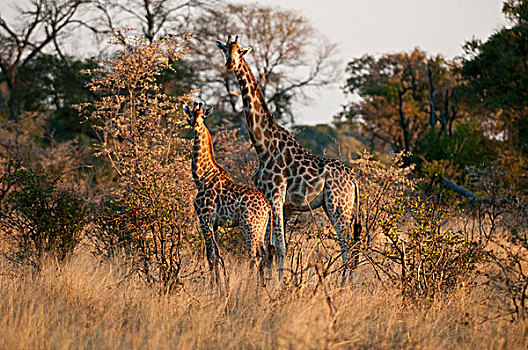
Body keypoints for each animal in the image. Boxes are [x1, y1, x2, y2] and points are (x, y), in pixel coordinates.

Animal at [184, 102, 272, 282]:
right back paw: (261, 285)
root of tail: (268, 206)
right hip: (261, 229)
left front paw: (213, 286)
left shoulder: (205, 219)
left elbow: (210, 255)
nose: (194, 124)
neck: (201, 177)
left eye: (202, 116)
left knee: (254, 256)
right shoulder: (215, 224)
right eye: (190, 115)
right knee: (263, 255)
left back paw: (249, 285)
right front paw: (220, 283)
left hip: (249, 227)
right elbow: (217, 254)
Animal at [217, 34, 360, 278]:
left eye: (240, 51)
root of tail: (353, 180)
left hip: (338, 205)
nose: (230, 64)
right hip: (334, 206)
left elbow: (281, 246)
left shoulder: (276, 196)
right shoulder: (270, 199)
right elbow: (269, 247)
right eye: (225, 50)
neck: (262, 146)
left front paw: (279, 283)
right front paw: (265, 281)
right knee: (348, 244)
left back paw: (346, 284)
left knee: (347, 243)